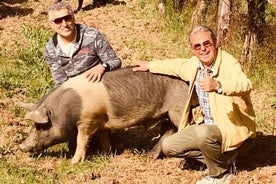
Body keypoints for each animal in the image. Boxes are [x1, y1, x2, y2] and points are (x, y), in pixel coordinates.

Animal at [18, 66, 189, 164]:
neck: (70, 108)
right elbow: (104, 136)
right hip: (166, 113)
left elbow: (81, 141)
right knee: (168, 131)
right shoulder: (101, 121)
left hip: (178, 109)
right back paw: (149, 157)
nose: (21, 146)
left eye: (41, 126)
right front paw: (106, 153)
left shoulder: (87, 120)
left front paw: (74, 162)